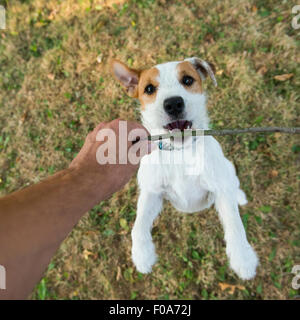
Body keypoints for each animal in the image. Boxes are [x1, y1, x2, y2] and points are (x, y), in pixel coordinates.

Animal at [111, 57, 258, 280]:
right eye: (149, 88)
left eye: (188, 80)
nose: (173, 104)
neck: (180, 153)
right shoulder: (152, 192)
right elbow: (138, 226)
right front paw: (142, 255)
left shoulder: (220, 188)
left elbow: (235, 224)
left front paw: (243, 259)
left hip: (227, 169)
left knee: (233, 185)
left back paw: (239, 196)